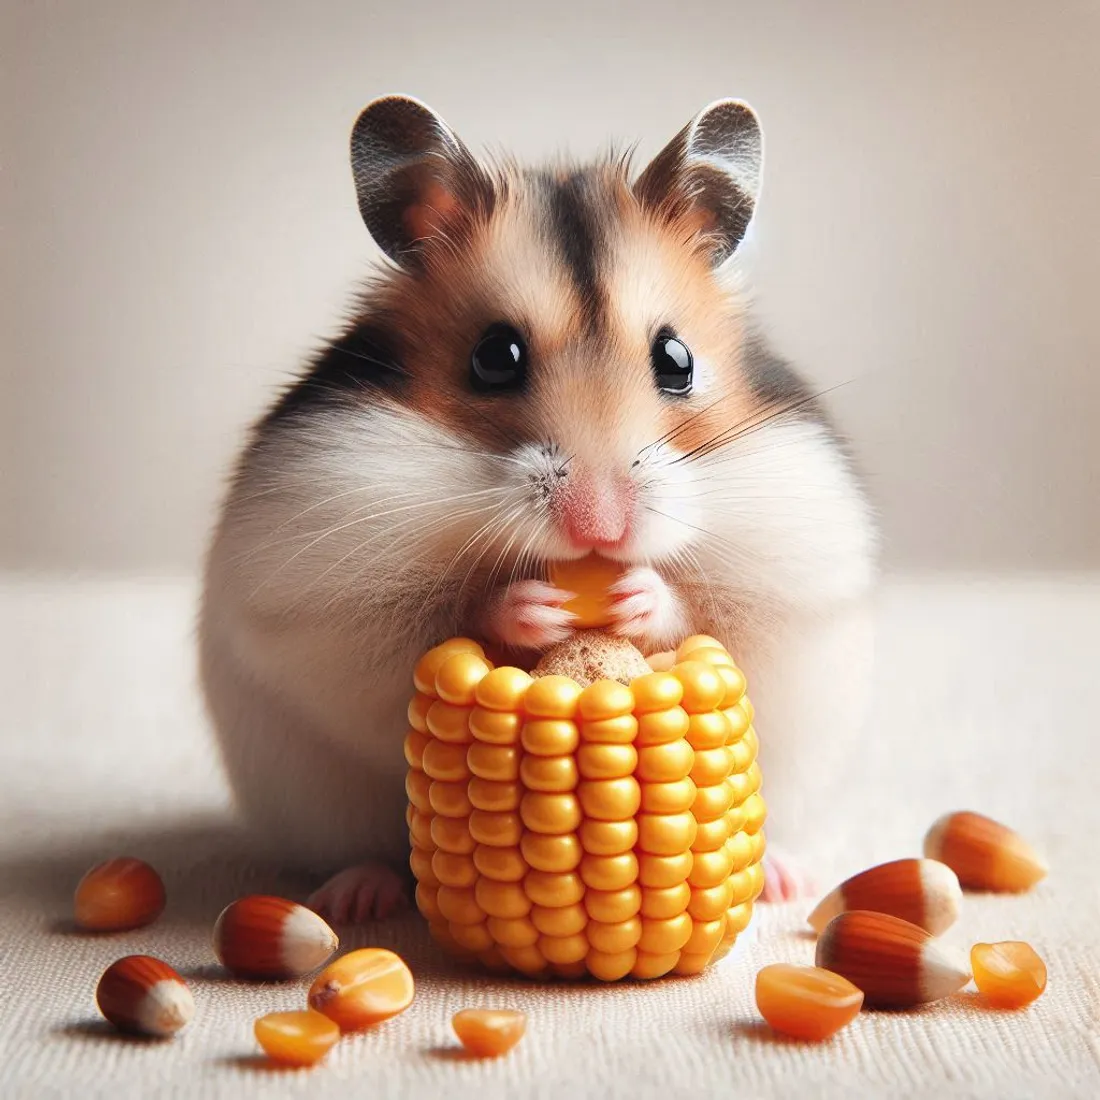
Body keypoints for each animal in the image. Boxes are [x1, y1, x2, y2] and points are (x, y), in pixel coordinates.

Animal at [199, 95, 877, 922]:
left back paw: (787, 881)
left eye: (678, 360)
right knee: (359, 850)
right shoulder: (322, 600)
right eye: (495, 356)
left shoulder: (793, 585)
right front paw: (533, 606)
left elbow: (707, 611)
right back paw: (358, 896)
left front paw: (636, 595)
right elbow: (450, 612)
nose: (600, 528)